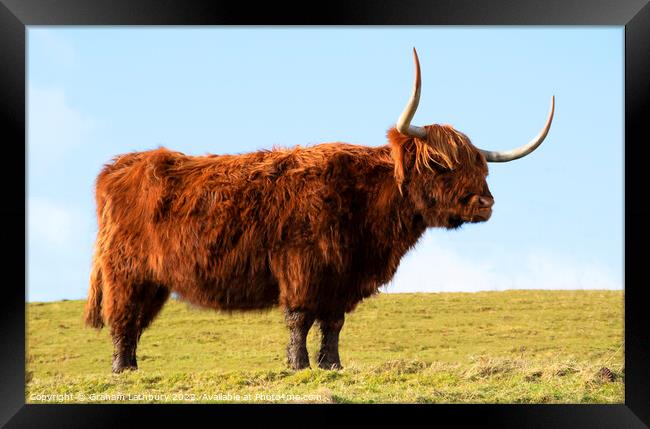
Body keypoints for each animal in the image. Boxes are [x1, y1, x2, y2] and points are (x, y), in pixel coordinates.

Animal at [83, 49, 556, 372]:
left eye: (482, 168)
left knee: (135, 321)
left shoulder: (343, 278)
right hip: (126, 272)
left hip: (153, 280)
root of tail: (121, 165)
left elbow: (332, 323)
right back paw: (124, 370)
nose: (485, 204)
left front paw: (332, 365)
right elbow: (299, 319)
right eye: (441, 164)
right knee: (122, 319)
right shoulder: (302, 267)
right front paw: (298, 365)